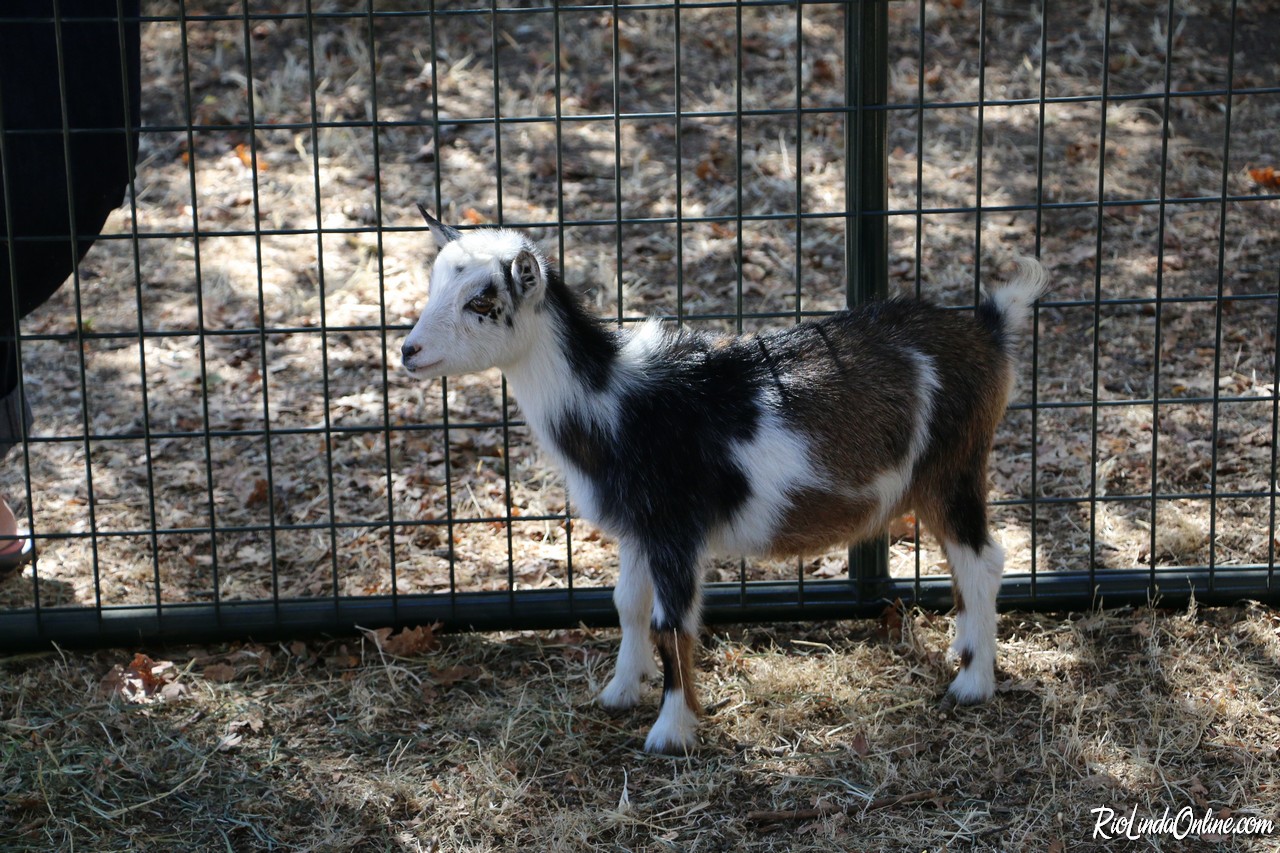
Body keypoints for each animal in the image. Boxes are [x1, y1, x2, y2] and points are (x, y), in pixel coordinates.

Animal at [401, 206, 1048, 754]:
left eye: (482, 300)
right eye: (434, 284)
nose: (408, 351)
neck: (613, 400)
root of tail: (989, 330)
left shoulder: (677, 529)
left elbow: (671, 624)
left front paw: (671, 732)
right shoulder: (640, 529)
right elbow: (627, 605)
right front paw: (618, 693)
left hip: (953, 468)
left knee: (983, 560)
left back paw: (973, 684)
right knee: (967, 564)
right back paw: (964, 652)